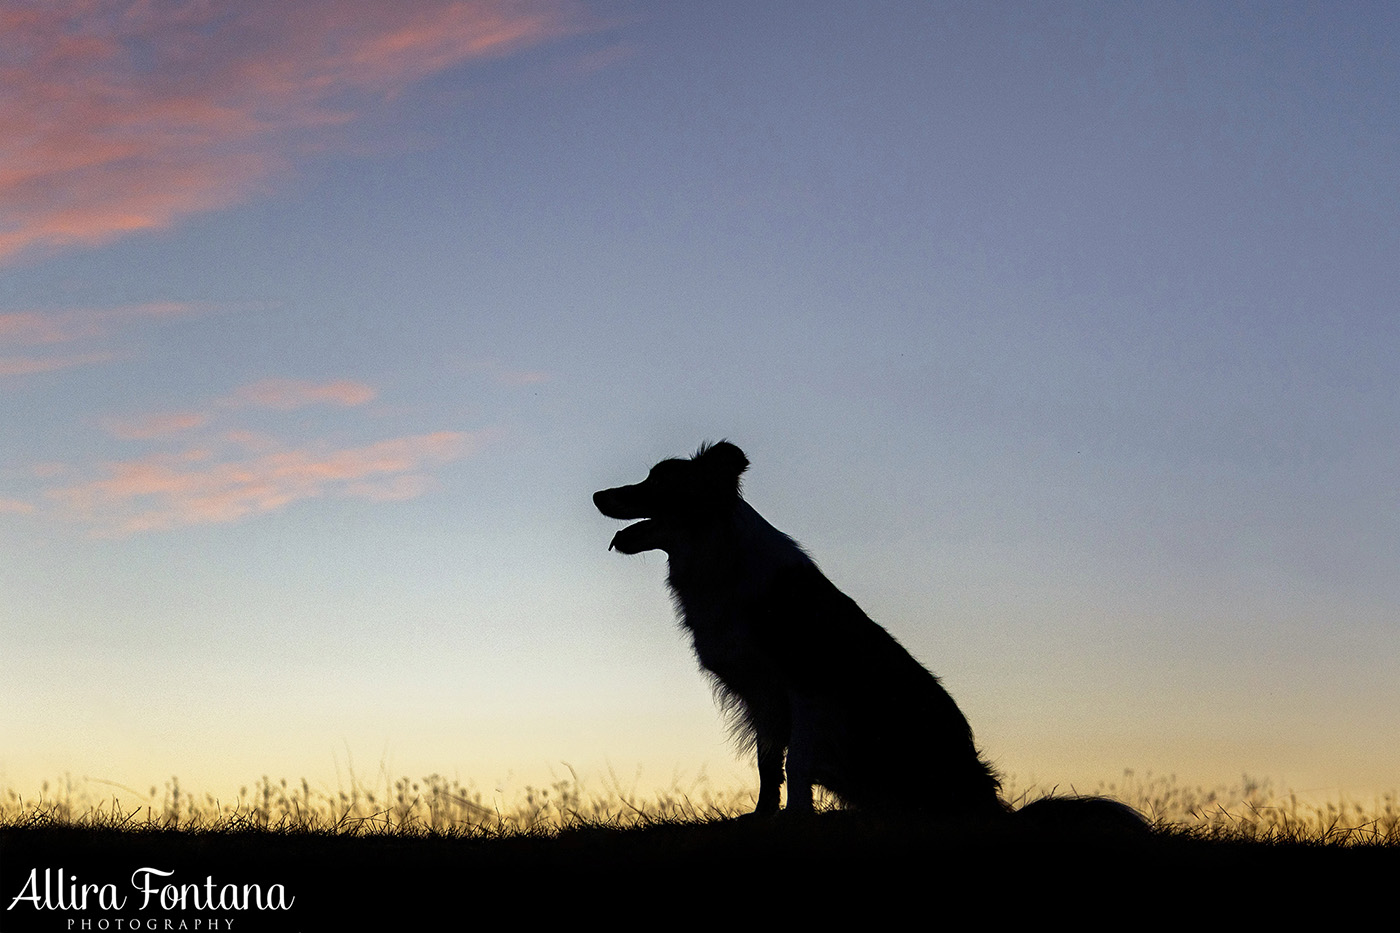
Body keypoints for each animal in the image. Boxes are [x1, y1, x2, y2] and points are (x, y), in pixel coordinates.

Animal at [590, 439, 1008, 812]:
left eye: (660, 481)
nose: (596, 495)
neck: (722, 556)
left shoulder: (806, 685)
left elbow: (797, 762)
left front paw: (796, 813)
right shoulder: (763, 697)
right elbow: (768, 762)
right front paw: (763, 814)